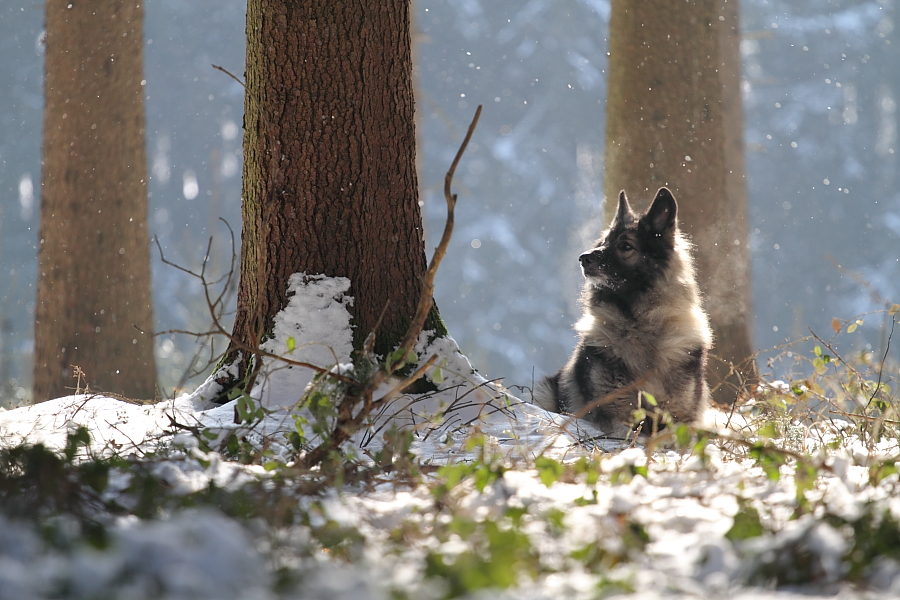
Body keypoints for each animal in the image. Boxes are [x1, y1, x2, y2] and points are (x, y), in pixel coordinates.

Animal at [532, 188, 712, 436]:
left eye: (626, 246)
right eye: (603, 242)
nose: (583, 258)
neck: (639, 324)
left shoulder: (678, 417)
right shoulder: (615, 415)